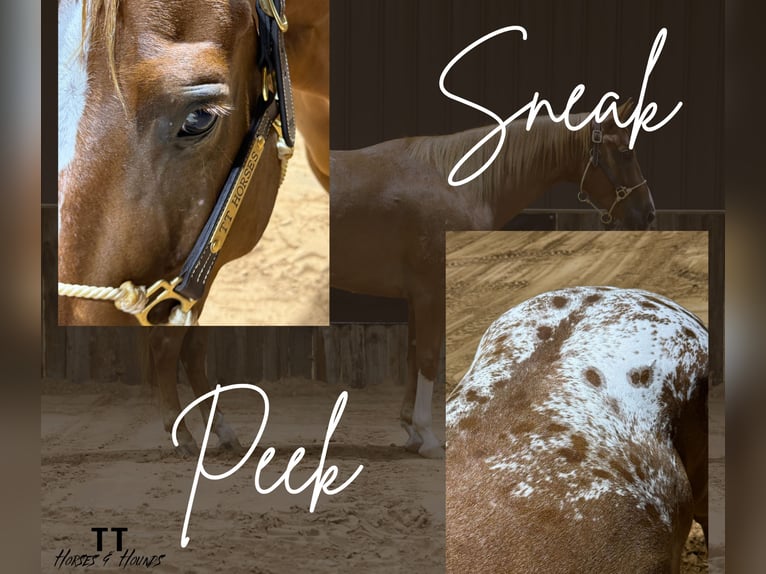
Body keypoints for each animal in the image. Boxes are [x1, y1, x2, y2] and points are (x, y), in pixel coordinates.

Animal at [330, 101, 656, 459]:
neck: (457, 184)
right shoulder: (430, 291)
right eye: (625, 152)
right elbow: (429, 358)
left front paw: (412, 432)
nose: (648, 213)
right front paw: (428, 437)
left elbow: (414, 356)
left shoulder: (416, 298)